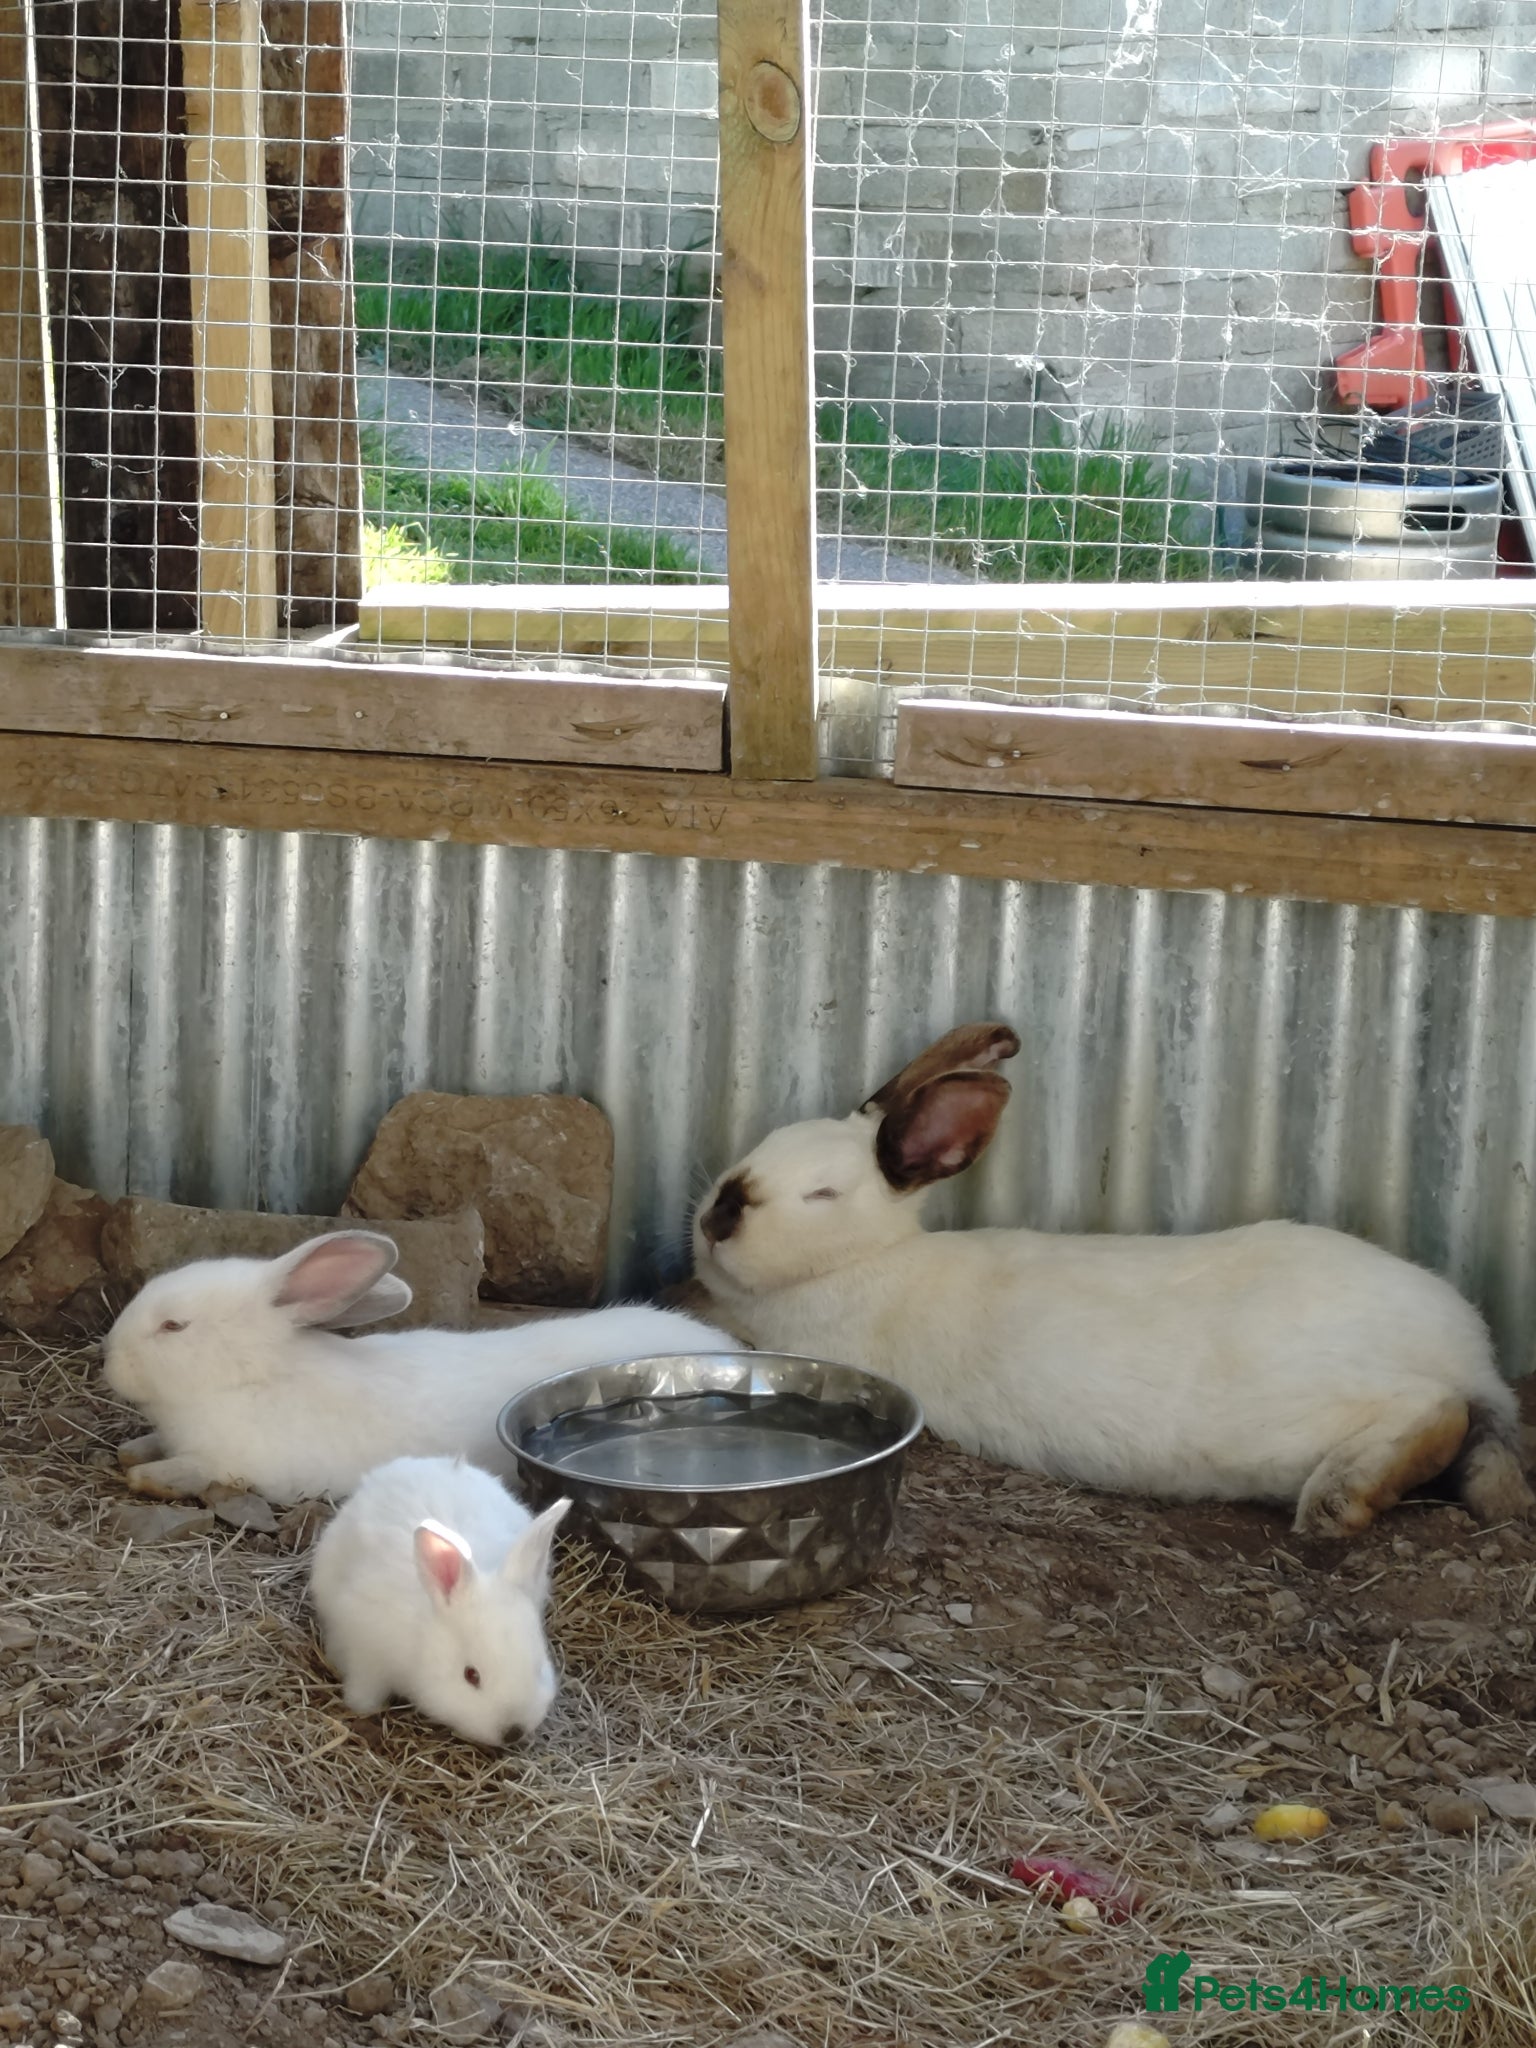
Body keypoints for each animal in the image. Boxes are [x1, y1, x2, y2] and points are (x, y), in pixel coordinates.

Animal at [103, 1228, 739, 1504]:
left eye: (174, 1326)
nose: (108, 1358)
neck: (250, 1377)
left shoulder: (236, 1466)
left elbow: (191, 1471)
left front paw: (144, 1476)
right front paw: (131, 1452)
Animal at [309, 1455, 571, 1744]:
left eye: (539, 1667)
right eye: (471, 1675)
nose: (513, 1732)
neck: (424, 1640)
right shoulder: (365, 1653)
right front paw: (362, 1707)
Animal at [691, 1022, 1534, 1539]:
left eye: (822, 1194)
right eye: (759, 1146)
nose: (719, 1214)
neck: (872, 1260)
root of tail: (1472, 1356)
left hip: (1310, 1411)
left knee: (1434, 1412)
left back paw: (1338, 1499)